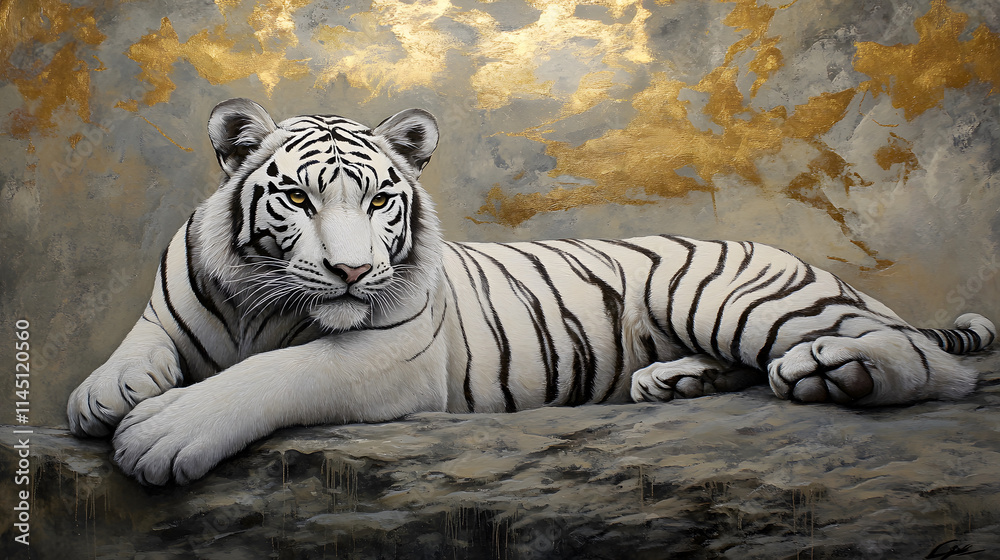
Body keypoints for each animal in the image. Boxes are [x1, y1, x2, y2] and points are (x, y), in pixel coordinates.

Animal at [67, 98, 996, 485]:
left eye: (380, 201)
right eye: (295, 198)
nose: (353, 272)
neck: (264, 306)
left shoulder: (393, 356)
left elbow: (276, 374)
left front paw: (162, 431)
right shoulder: (173, 306)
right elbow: (144, 340)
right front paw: (105, 393)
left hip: (732, 297)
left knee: (935, 364)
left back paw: (836, 371)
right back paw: (675, 379)